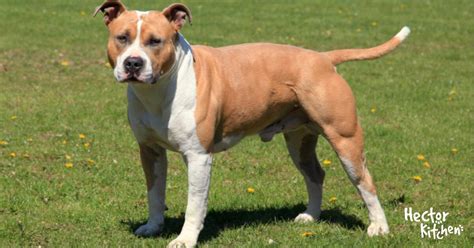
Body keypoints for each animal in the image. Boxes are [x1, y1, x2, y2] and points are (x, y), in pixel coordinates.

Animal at [94, 0, 410, 247]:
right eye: (122, 38)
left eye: (155, 41)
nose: (133, 64)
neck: (159, 90)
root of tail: (322, 58)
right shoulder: (150, 151)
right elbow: (155, 193)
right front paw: (153, 226)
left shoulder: (198, 156)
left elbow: (194, 204)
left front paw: (185, 239)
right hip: (299, 140)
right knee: (315, 174)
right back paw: (310, 216)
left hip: (345, 139)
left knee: (364, 181)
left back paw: (379, 227)